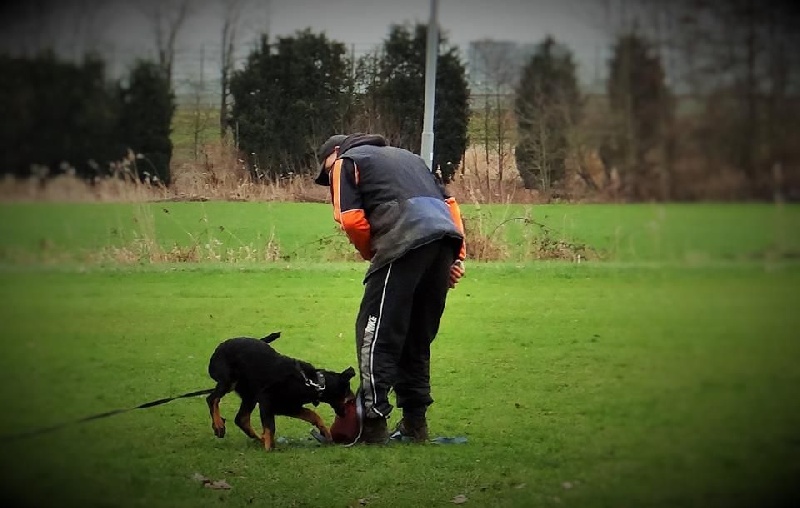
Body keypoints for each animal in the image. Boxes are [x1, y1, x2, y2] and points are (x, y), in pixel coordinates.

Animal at [206, 332, 356, 450]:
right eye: (348, 396)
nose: (355, 398)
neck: (314, 383)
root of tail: (220, 346)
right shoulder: (266, 400)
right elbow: (270, 426)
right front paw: (269, 448)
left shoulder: (289, 407)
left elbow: (313, 415)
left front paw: (326, 432)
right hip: (229, 381)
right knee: (212, 399)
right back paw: (219, 425)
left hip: (249, 395)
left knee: (241, 419)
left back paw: (258, 438)